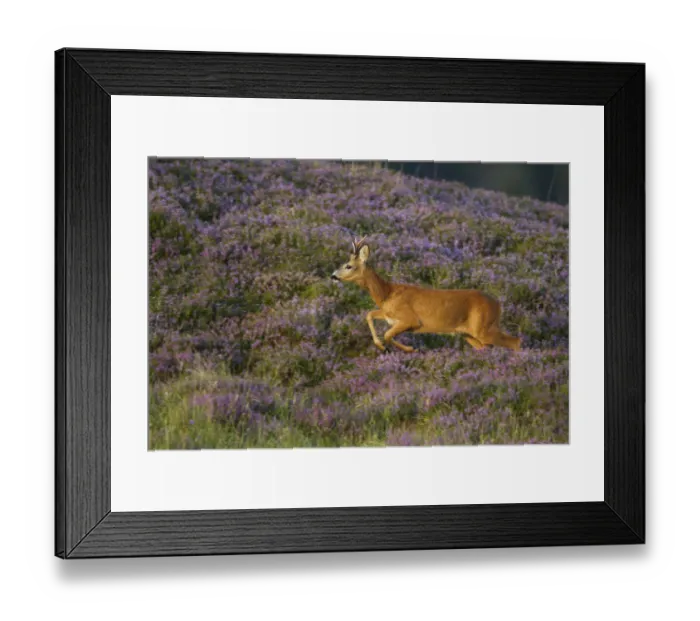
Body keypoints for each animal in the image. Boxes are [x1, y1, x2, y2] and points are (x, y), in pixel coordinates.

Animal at [331, 237, 522, 353]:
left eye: (348, 266)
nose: (333, 276)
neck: (387, 293)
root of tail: (498, 304)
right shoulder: (388, 315)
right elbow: (369, 314)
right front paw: (382, 347)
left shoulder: (410, 319)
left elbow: (387, 334)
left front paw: (409, 349)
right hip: (470, 334)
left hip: (483, 328)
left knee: (516, 341)